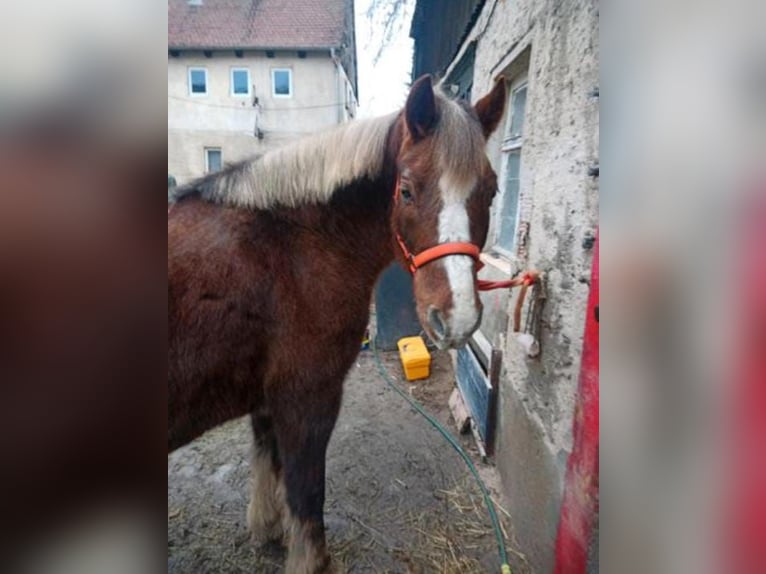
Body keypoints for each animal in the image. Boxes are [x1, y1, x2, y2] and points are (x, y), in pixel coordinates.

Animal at [168, 74, 507, 573]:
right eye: (407, 190)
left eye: (493, 191)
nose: (457, 316)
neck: (291, 246)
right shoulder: (308, 397)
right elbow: (307, 495)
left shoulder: (268, 399)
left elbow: (268, 462)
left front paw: (268, 530)